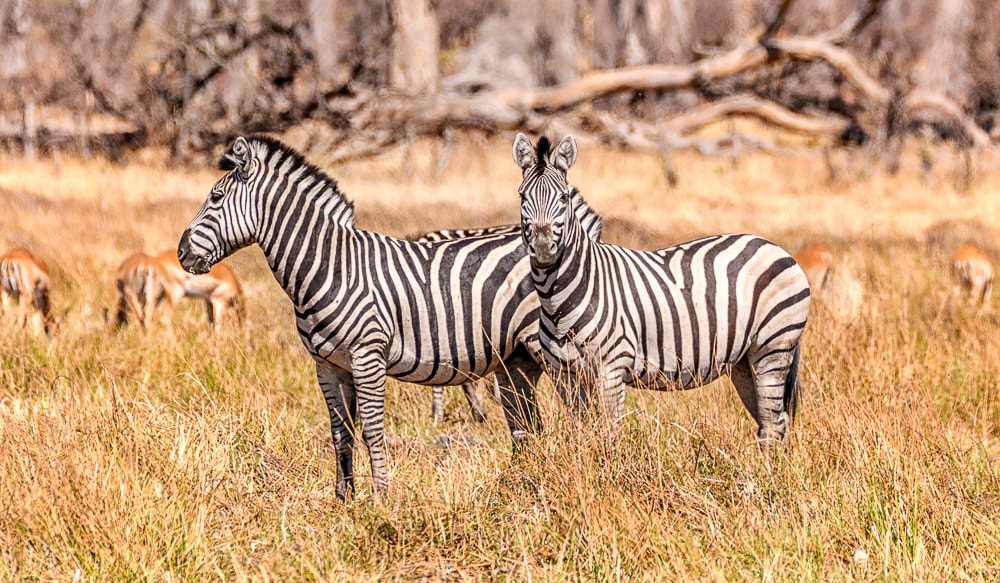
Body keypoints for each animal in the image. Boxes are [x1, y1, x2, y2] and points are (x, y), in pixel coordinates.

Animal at [512, 133, 811, 447]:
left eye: (563, 198)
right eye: (522, 197)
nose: (542, 249)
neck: (558, 300)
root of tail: (772, 245)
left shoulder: (612, 369)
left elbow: (611, 436)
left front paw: (612, 462)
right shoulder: (565, 376)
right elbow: (583, 434)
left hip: (774, 347)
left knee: (774, 424)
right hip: (745, 359)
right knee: (772, 423)